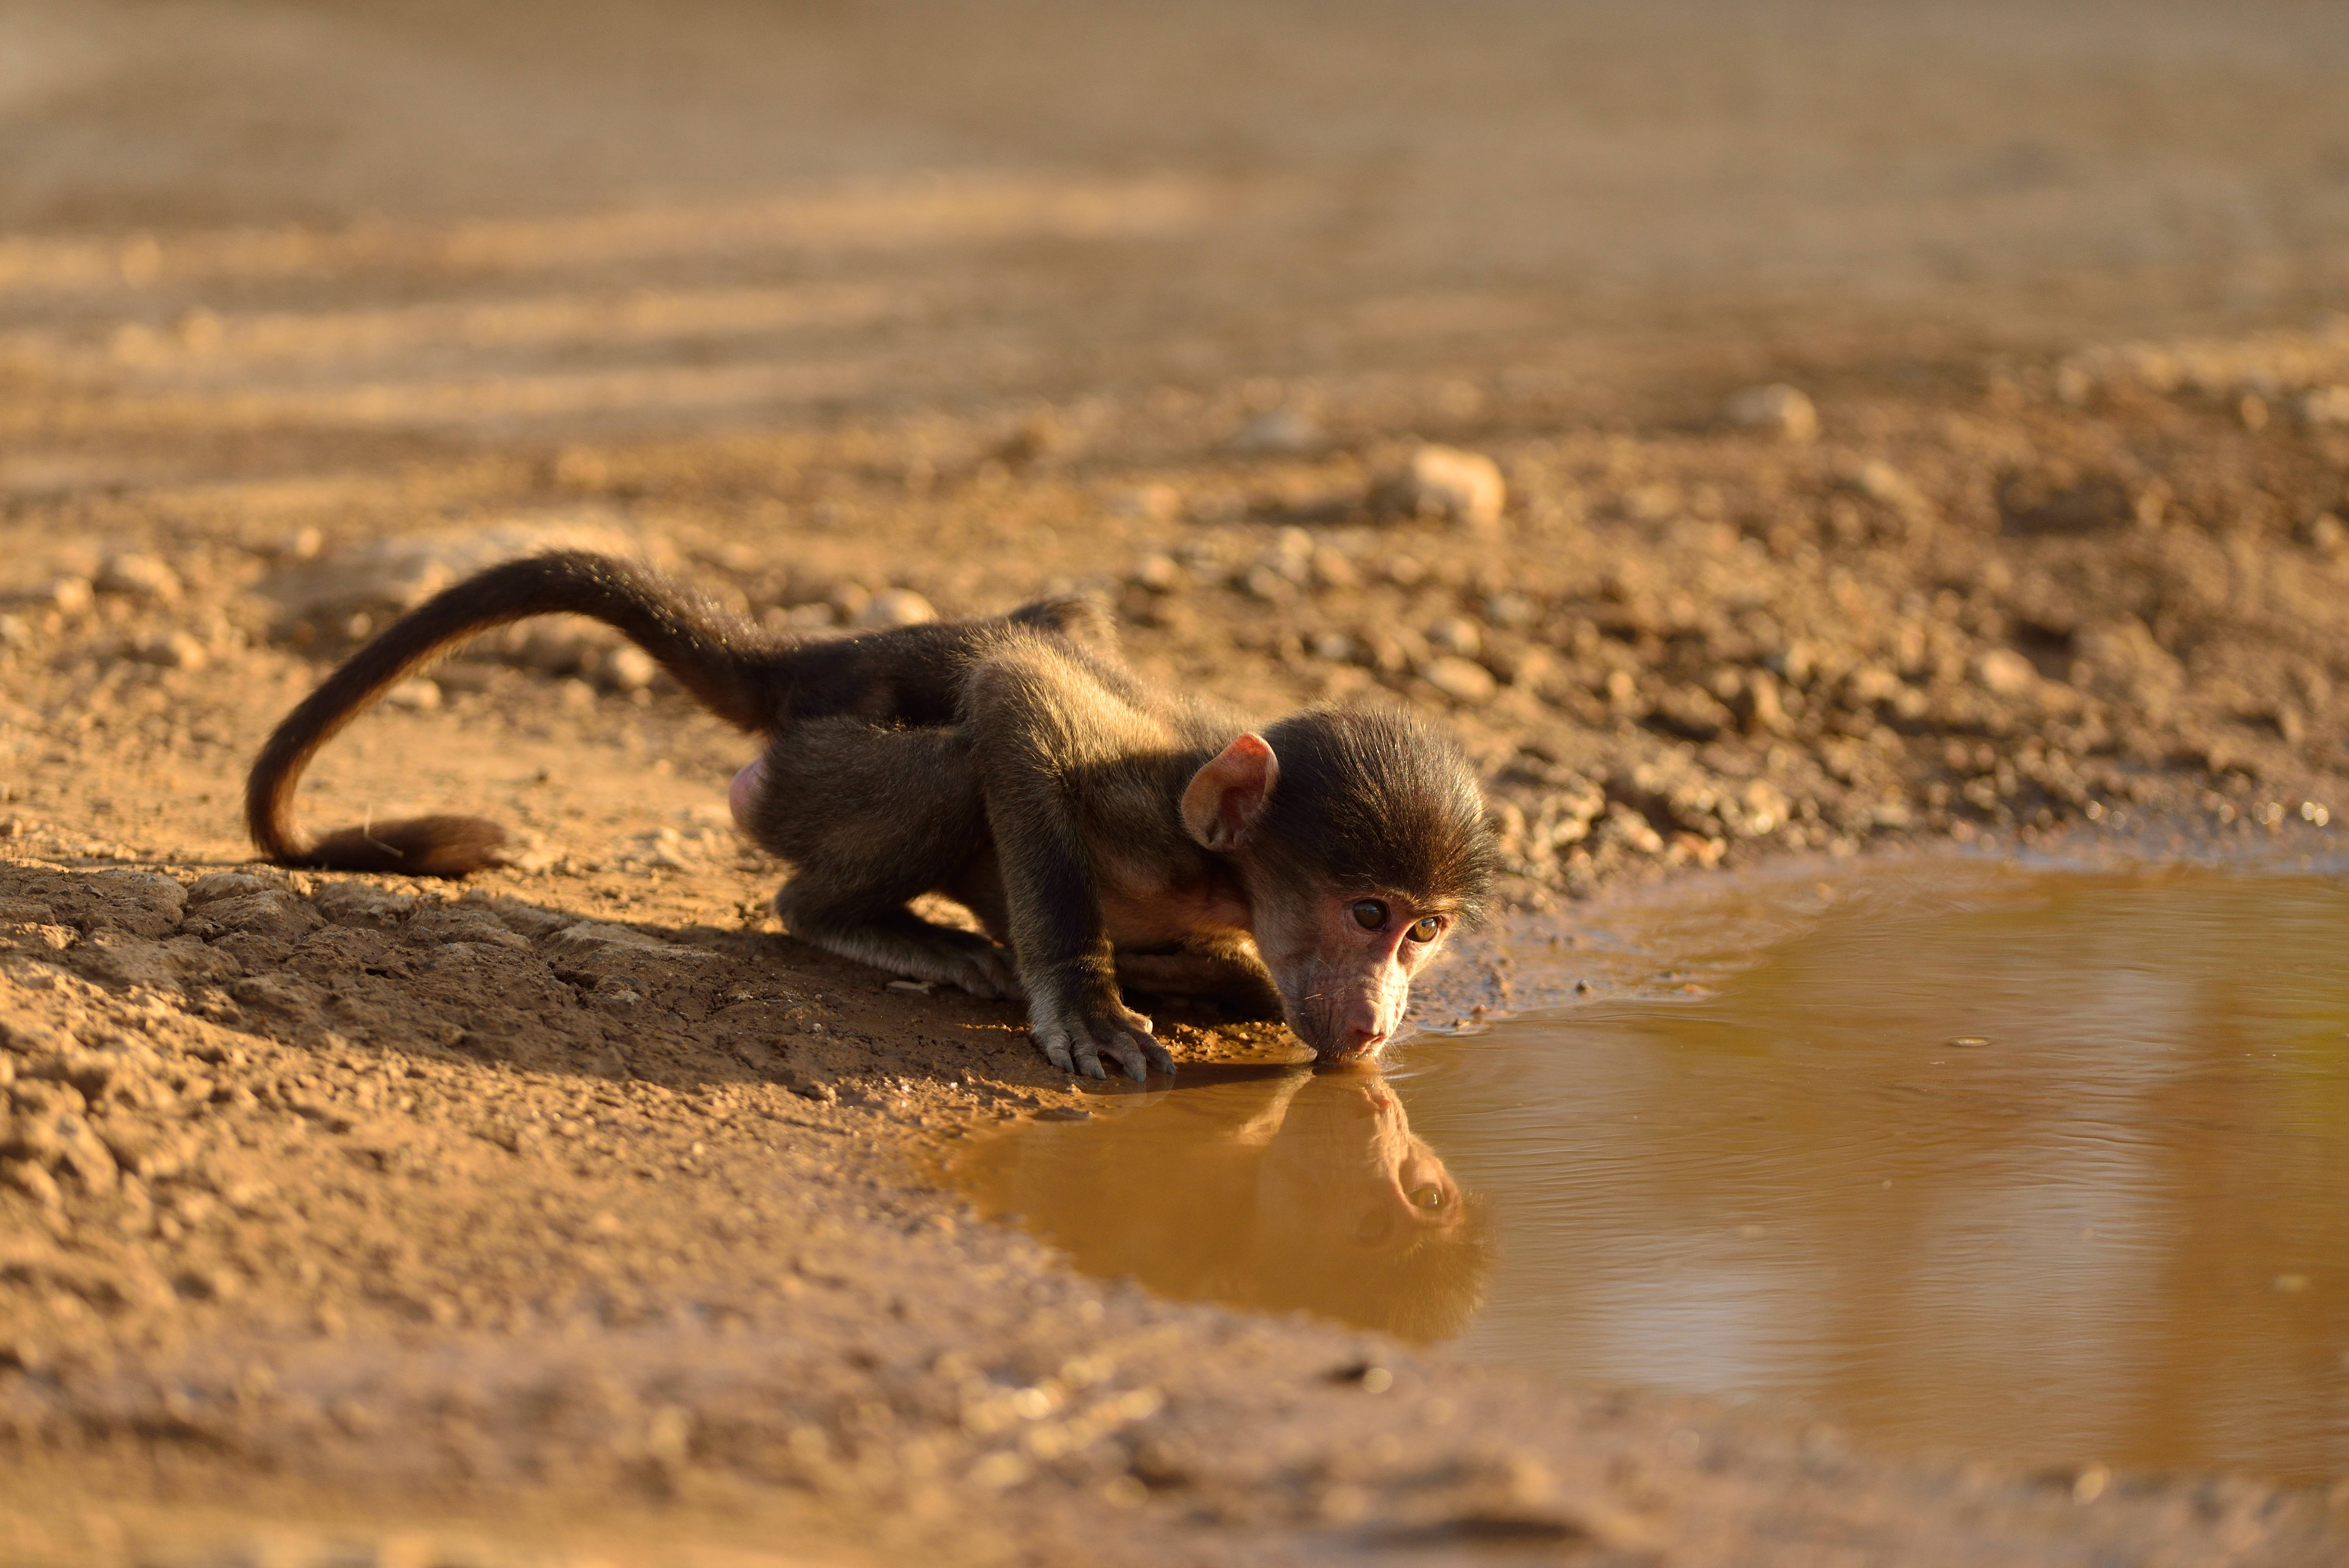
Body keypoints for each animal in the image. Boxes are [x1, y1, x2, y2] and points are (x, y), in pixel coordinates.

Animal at [246, 550, 1498, 1080]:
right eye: (1365, 911)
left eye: (1423, 931)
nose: (1379, 1017)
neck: (1219, 875)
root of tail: (819, 661)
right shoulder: (1146, 808)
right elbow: (1016, 707)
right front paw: (1087, 1004)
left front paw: (1191, 982)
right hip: (810, 777)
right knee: (941, 766)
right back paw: (865, 921)